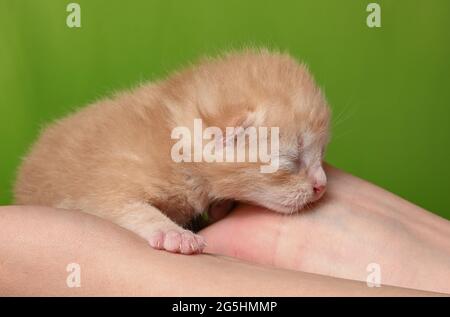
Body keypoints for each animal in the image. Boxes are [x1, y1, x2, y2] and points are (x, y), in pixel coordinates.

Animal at [14, 50, 330, 256]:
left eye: (321, 151)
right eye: (292, 161)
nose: (322, 186)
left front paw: (219, 205)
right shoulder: (101, 189)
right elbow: (135, 210)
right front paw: (173, 233)